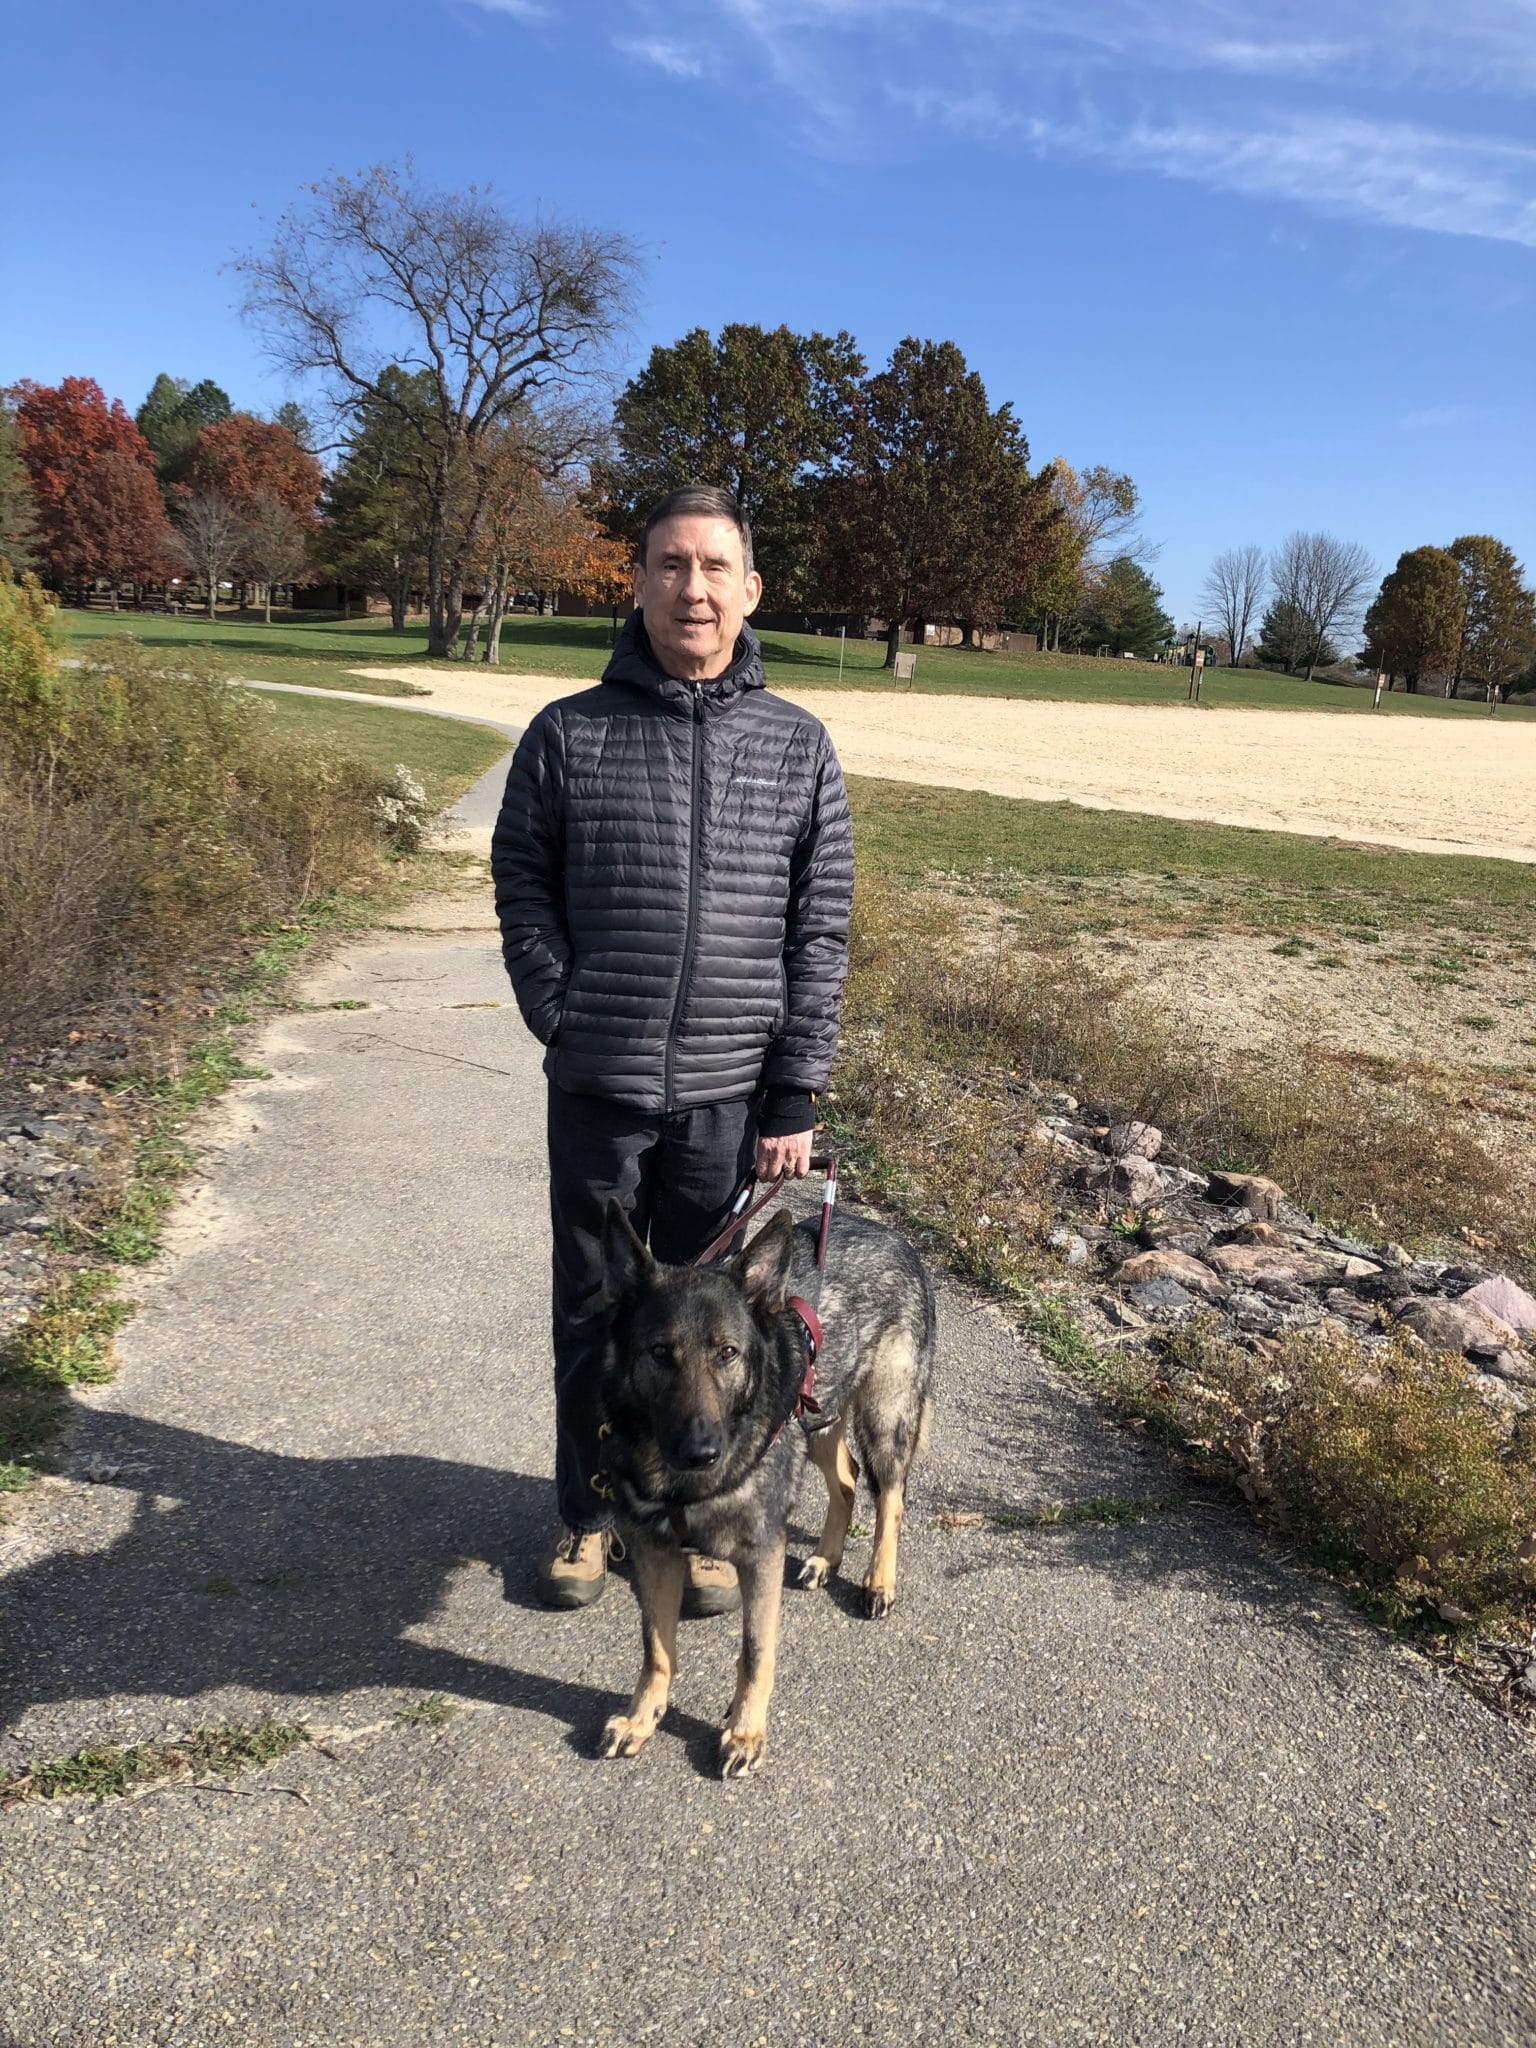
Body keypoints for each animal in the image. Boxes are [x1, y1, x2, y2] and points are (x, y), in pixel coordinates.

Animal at [598, 1196, 937, 1777]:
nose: (701, 1450)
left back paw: (878, 1581)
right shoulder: (653, 1551)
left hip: (882, 1417)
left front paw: (745, 1732)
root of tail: (896, 1237)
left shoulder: (761, 1556)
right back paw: (826, 1558)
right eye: (660, 1353)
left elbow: (756, 1651)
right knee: (847, 1481)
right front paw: (643, 1718)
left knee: (889, 1498)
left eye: (727, 1353)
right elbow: (656, 1649)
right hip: (815, 1418)